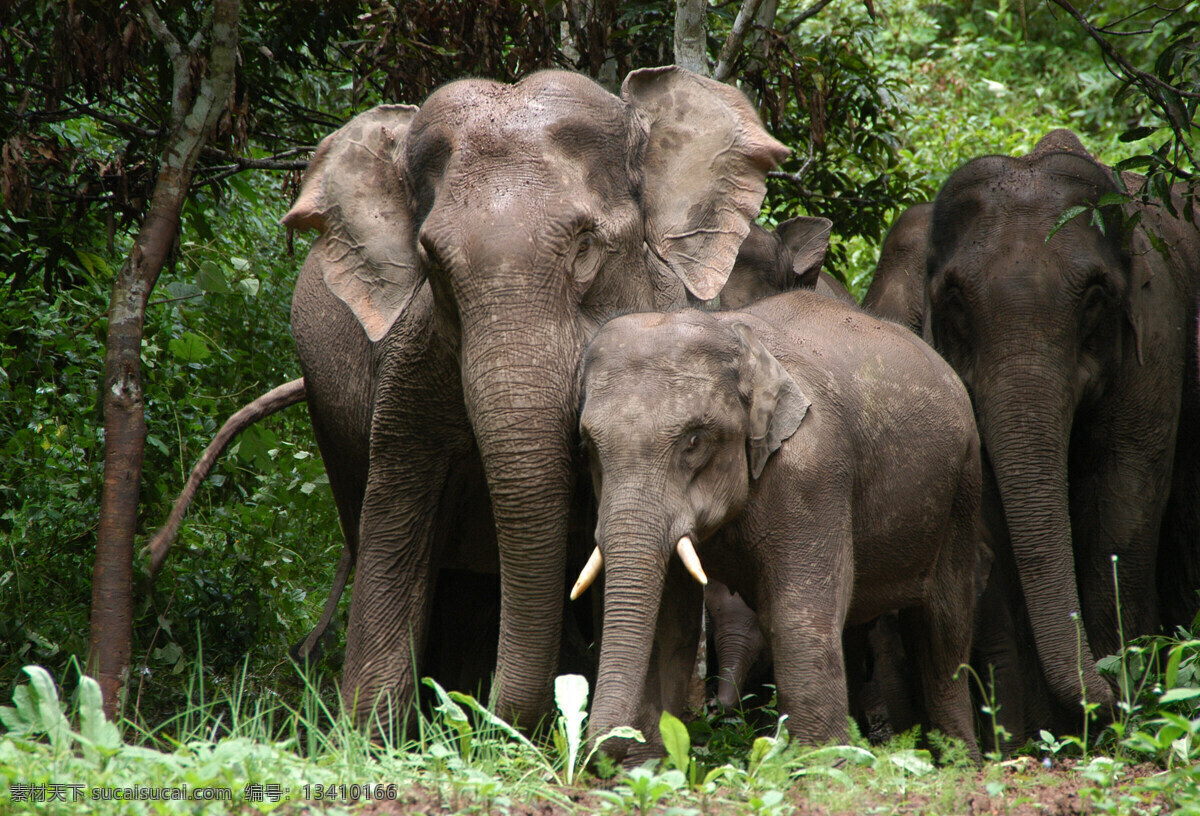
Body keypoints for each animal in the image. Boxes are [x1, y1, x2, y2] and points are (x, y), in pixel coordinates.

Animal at [279, 65, 787, 724]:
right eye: (433, 264)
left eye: (586, 247)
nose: (493, 712)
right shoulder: (409, 375)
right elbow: (393, 538)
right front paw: (367, 734)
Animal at [578, 290, 984, 763]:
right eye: (589, 446)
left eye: (694, 441)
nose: (610, 744)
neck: (735, 336)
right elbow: (670, 620)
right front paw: (647, 767)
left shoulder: (813, 471)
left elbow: (797, 609)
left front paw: (818, 764)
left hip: (963, 484)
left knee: (945, 626)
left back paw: (960, 762)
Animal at [873, 129, 1200, 739]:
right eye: (954, 300)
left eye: (1096, 296)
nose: (1110, 699)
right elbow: (989, 511)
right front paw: (1045, 729)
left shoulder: (1155, 338)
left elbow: (1124, 492)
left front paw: (1116, 709)